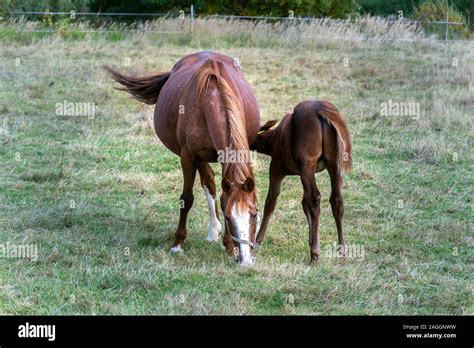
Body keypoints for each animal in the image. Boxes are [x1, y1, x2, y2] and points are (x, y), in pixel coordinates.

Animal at [106, 50, 262, 266]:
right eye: (229, 218)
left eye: (254, 215)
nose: (246, 260)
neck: (213, 99)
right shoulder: (188, 156)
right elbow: (186, 199)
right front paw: (178, 243)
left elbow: (224, 195)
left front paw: (230, 247)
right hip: (199, 157)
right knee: (208, 182)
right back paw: (212, 231)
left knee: (210, 181)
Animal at [252, 99, 352, 262]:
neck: (273, 139)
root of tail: (322, 111)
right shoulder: (301, 173)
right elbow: (304, 203)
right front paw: (311, 239)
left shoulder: (277, 167)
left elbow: (271, 201)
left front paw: (257, 241)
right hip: (334, 164)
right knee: (336, 200)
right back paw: (341, 250)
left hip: (307, 162)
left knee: (315, 198)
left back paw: (315, 254)